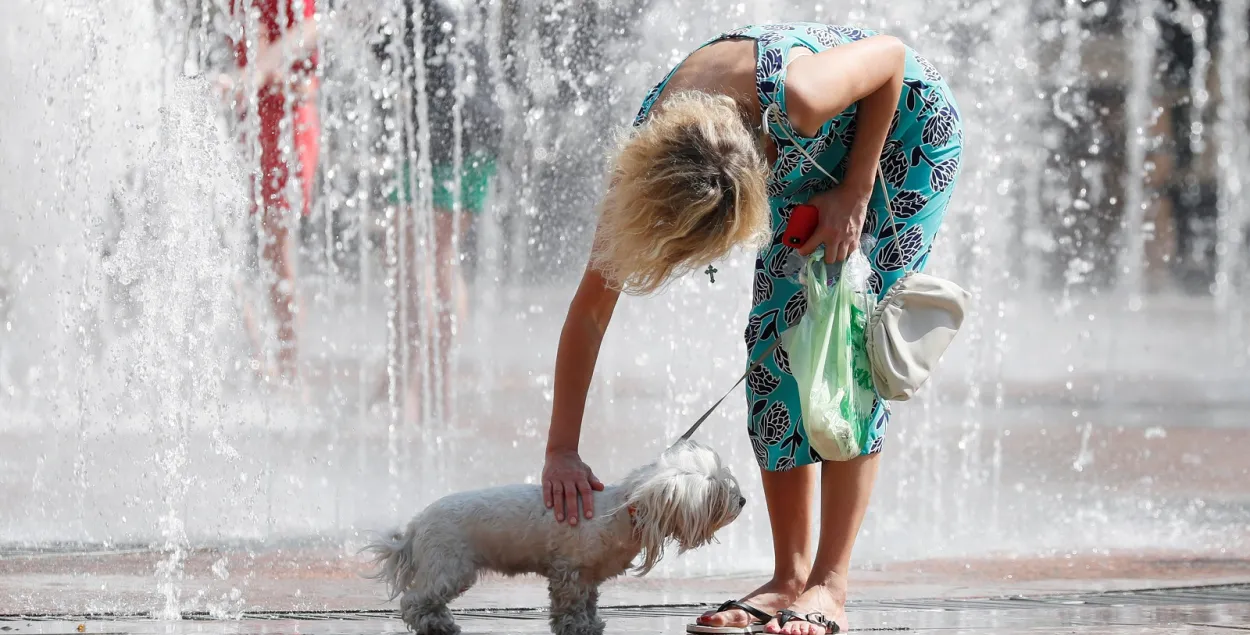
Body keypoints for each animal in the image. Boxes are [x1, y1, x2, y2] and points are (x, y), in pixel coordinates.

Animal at [365, 442, 745, 635]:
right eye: (715, 491)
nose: (742, 501)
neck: (623, 511)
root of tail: (417, 523)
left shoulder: (589, 575)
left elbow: (589, 603)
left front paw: (591, 625)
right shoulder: (570, 571)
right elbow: (570, 606)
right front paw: (576, 627)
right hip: (449, 567)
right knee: (415, 602)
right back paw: (436, 625)